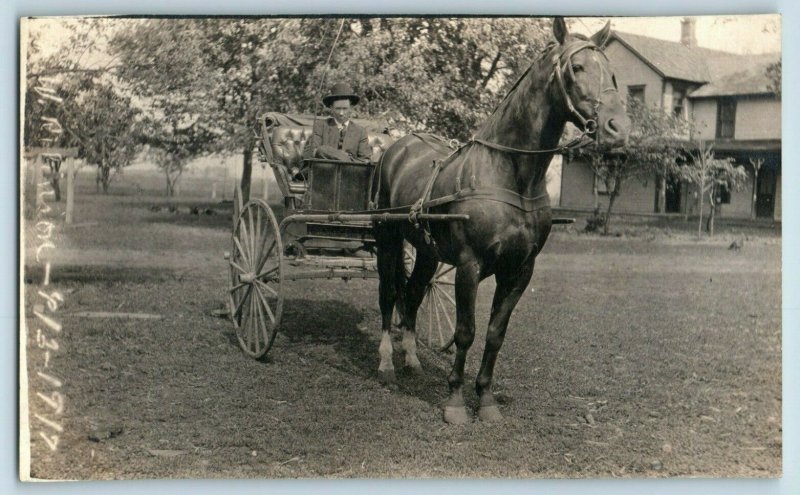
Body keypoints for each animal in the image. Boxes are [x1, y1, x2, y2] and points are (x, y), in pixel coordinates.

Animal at [374, 17, 632, 424]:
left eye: (612, 73)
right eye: (577, 68)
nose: (617, 129)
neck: (510, 175)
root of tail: (397, 147)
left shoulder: (519, 270)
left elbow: (496, 334)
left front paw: (486, 401)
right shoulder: (469, 266)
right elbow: (466, 331)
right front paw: (455, 403)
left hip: (428, 252)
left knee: (413, 295)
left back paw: (413, 360)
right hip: (387, 239)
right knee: (388, 296)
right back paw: (386, 365)